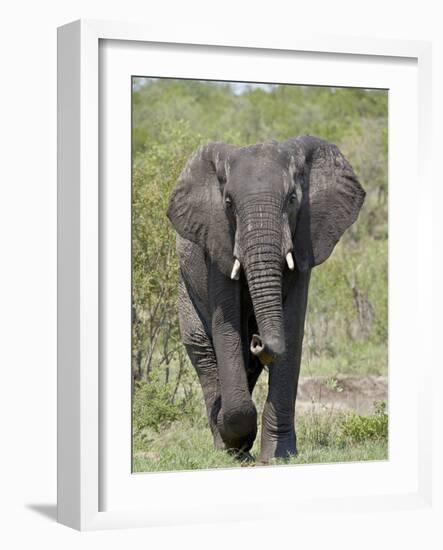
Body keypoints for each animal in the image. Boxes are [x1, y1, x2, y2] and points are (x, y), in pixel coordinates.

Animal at [168, 136, 366, 464]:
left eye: (292, 199)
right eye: (228, 204)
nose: (258, 338)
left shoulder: (305, 240)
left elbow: (292, 328)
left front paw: (277, 456)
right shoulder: (217, 241)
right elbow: (226, 329)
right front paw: (236, 442)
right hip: (185, 285)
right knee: (203, 350)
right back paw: (225, 445)